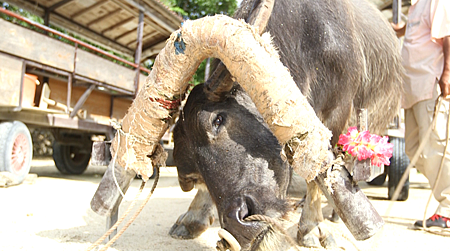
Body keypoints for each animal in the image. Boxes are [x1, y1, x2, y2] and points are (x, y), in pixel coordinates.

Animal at [171, 0, 402, 250]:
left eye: (218, 120)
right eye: (192, 175)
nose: (240, 227)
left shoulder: (337, 112)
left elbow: (318, 172)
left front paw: (312, 228)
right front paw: (193, 217)